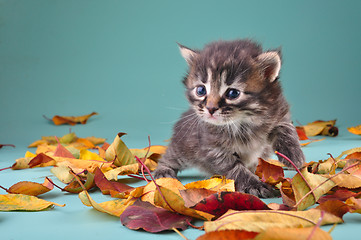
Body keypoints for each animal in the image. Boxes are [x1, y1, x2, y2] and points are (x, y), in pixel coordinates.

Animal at [153, 39, 306, 197]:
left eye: (233, 93)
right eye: (201, 90)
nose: (210, 109)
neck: (244, 122)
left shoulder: (279, 111)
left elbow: (286, 128)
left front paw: (293, 155)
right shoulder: (213, 148)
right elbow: (234, 168)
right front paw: (254, 185)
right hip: (183, 146)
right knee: (169, 157)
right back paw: (163, 172)